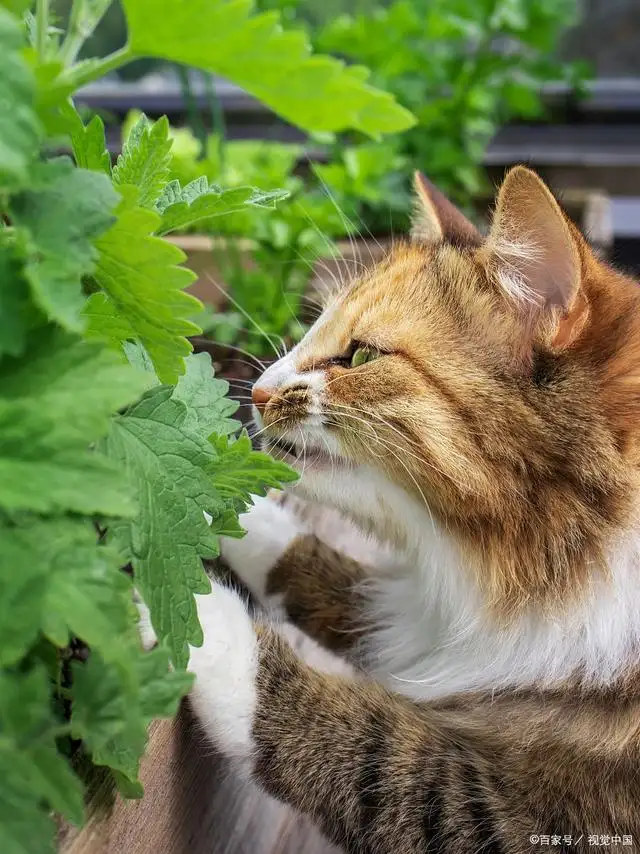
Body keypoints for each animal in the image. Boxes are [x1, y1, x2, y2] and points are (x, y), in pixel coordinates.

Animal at [182, 169, 636, 854]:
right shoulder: (411, 615)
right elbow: (315, 568)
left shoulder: (521, 820)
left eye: (363, 356)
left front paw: (188, 615)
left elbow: (365, 747)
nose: (257, 391)